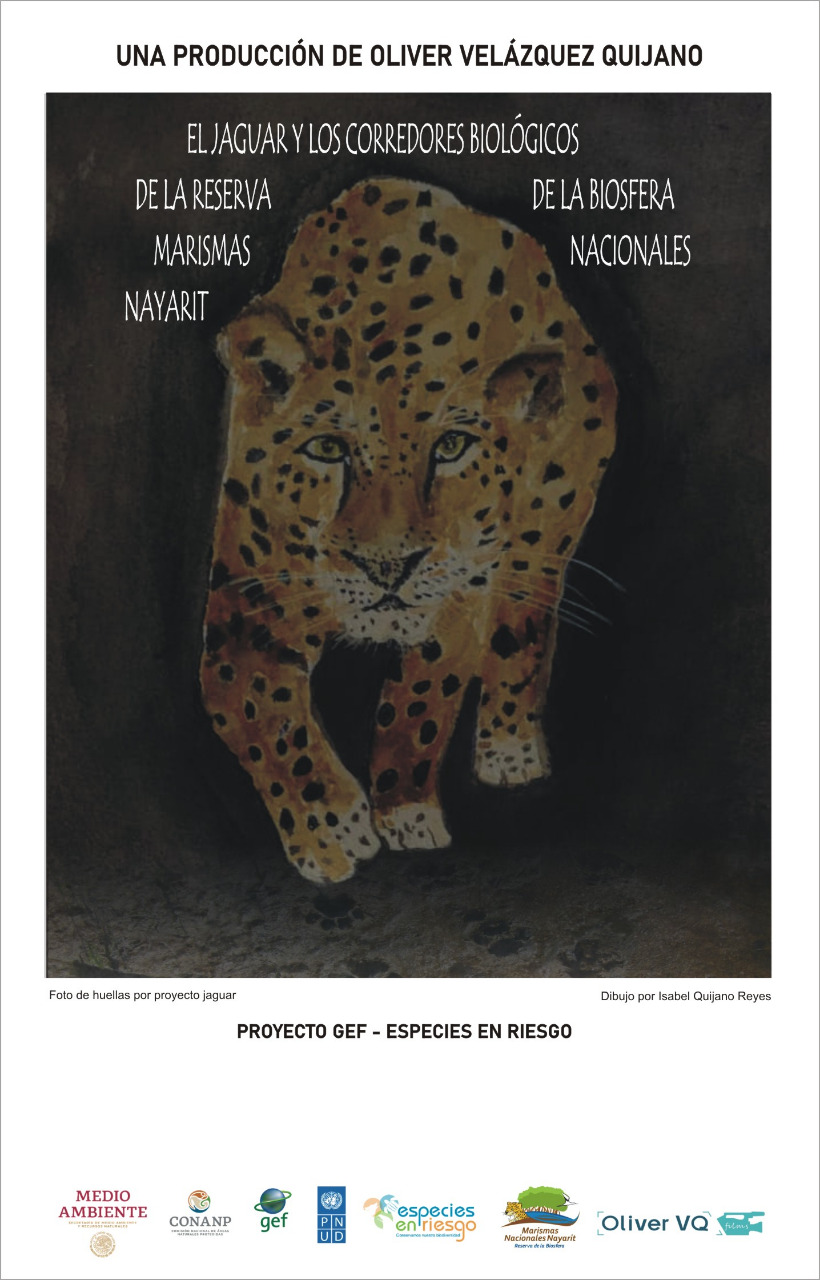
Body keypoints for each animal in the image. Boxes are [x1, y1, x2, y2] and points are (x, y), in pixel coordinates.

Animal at [200, 177, 616, 883]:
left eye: (450, 447)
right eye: (328, 449)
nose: (389, 566)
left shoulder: (457, 593)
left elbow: (421, 699)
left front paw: (404, 812)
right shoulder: (246, 605)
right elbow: (257, 713)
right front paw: (330, 830)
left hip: (546, 532)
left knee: (527, 622)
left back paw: (509, 747)